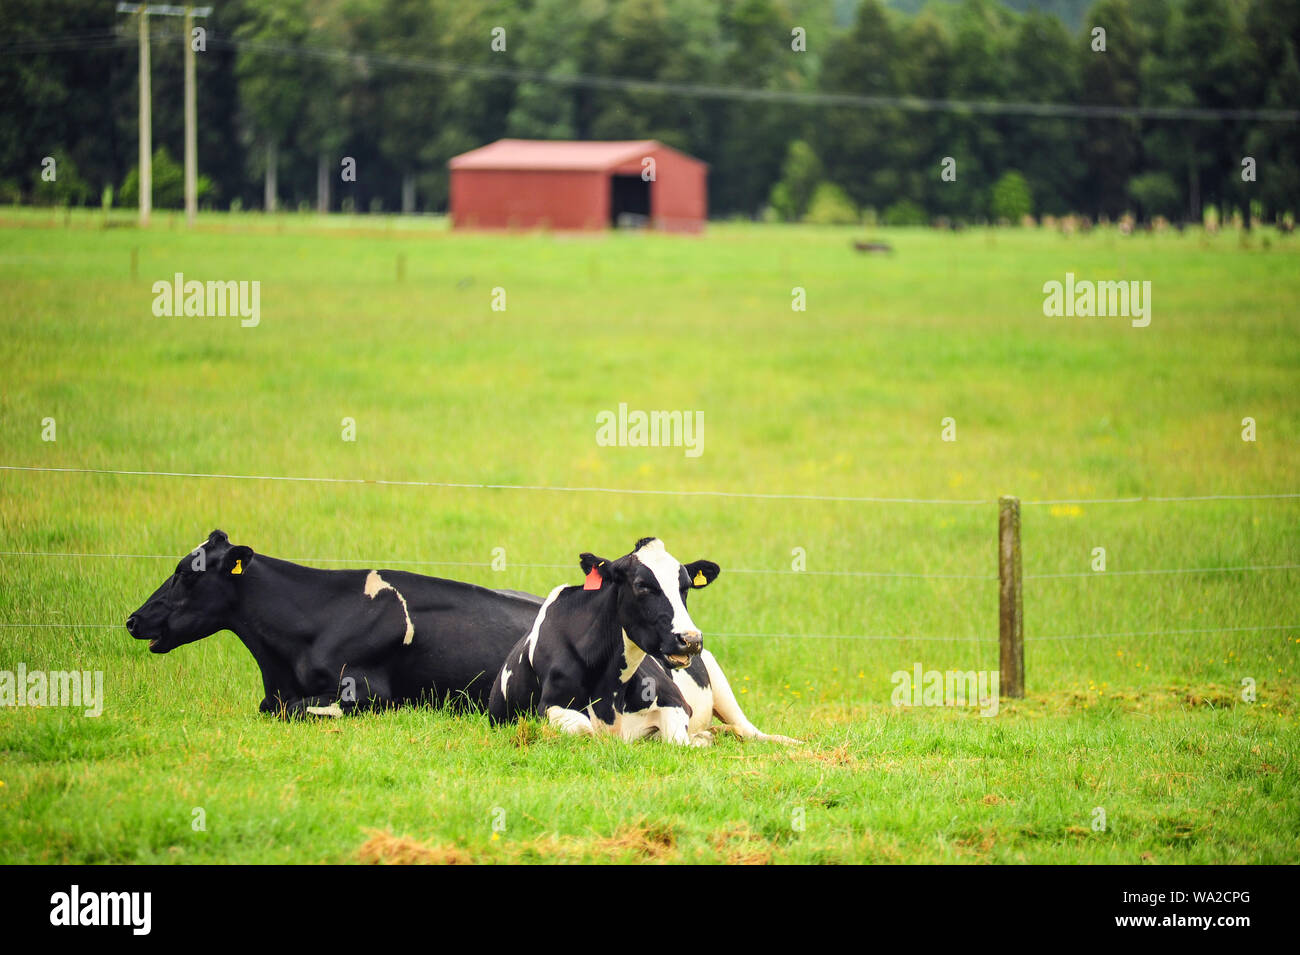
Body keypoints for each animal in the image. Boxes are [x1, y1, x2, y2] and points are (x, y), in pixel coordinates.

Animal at [488, 537, 799, 745]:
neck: (609, 691)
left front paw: (702, 737)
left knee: (748, 729)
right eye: (642, 585)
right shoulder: (547, 709)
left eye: (686, 586)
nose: (691, 639)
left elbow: (677, 739)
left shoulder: (676, 702)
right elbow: (584, 728)